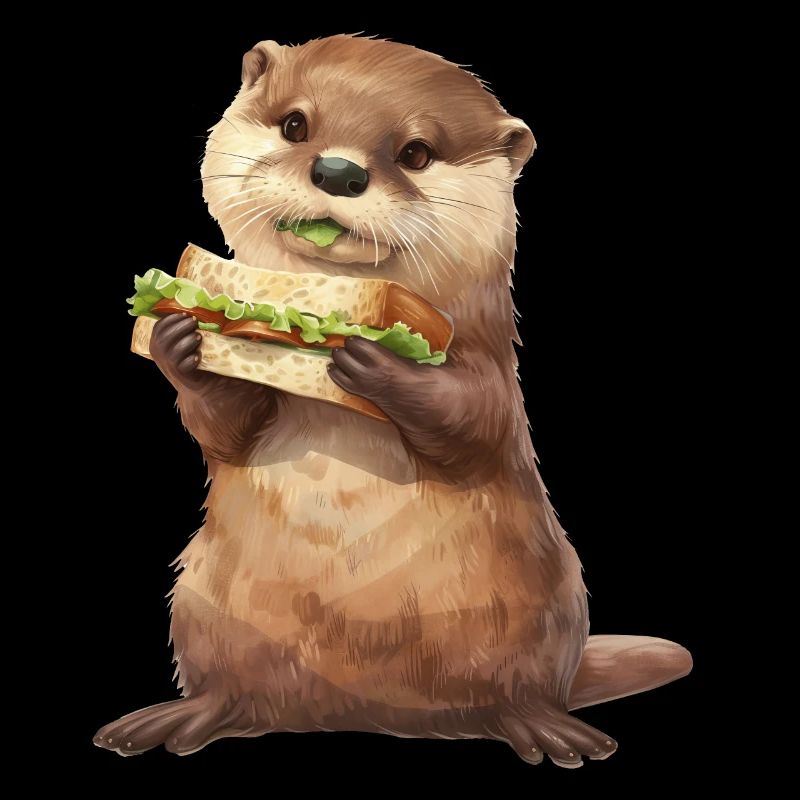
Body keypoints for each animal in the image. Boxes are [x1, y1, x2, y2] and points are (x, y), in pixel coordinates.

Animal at [95, 34, 691, 767]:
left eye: (415, 152)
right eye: (296, 124)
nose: (338, 171)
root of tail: (359, 709)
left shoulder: (489, 367)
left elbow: (474, 423)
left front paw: (376, 360)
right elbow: (224, 431)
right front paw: (181, 340)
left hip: (545, 613)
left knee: (518, 691)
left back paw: (548, 729)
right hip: (200, 608)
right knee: (234, 691)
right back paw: (179, 718)